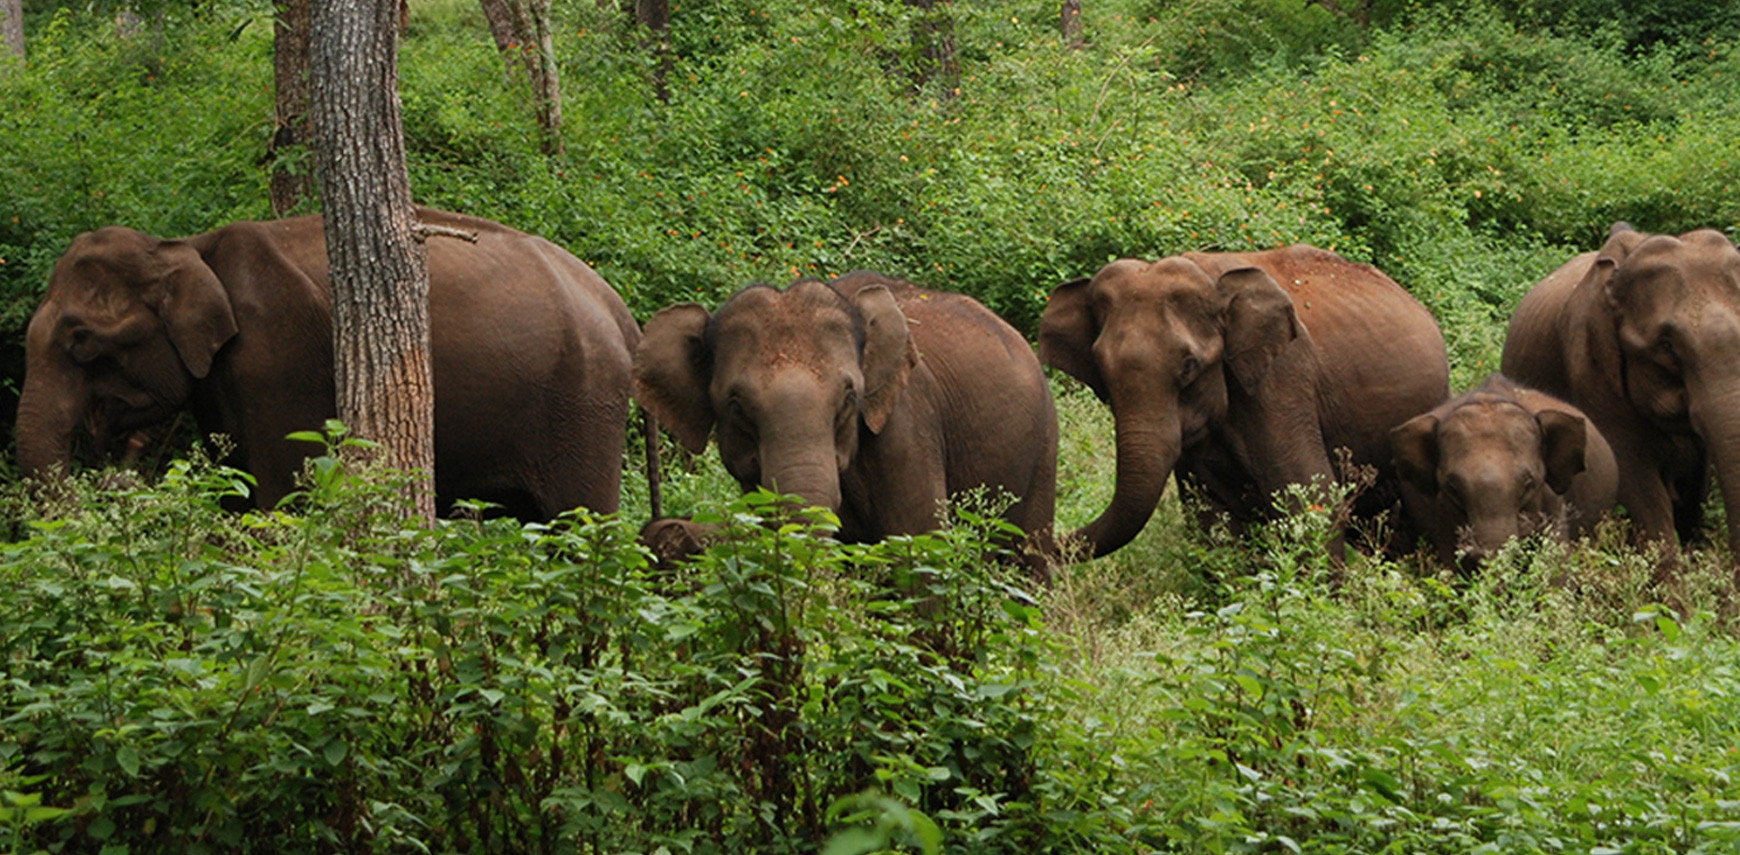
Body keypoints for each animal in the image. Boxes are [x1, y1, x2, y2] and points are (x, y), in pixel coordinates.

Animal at [16, 205, 643, 522]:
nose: (118, 470)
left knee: (581, 523)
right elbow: (238, 489)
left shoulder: (278, 358)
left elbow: (283, 494)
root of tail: (617, 307)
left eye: (81, 341)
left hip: (584, 401)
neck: (189, 246)